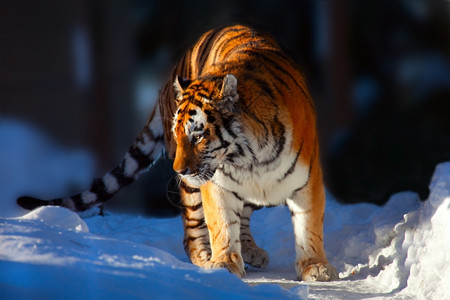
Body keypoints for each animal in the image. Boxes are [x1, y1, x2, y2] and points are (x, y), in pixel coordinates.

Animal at [17, 25, 338, 282]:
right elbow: (222, 224)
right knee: (193, 230)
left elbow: (308, 226)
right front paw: (223, 264)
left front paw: (315, 267)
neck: (250, 159)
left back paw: (249, 250)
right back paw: (205, 259)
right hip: (193, 190)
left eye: (198, 134)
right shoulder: (216, 184)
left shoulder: (307, 180)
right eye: (177, 134)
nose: (178, 169)